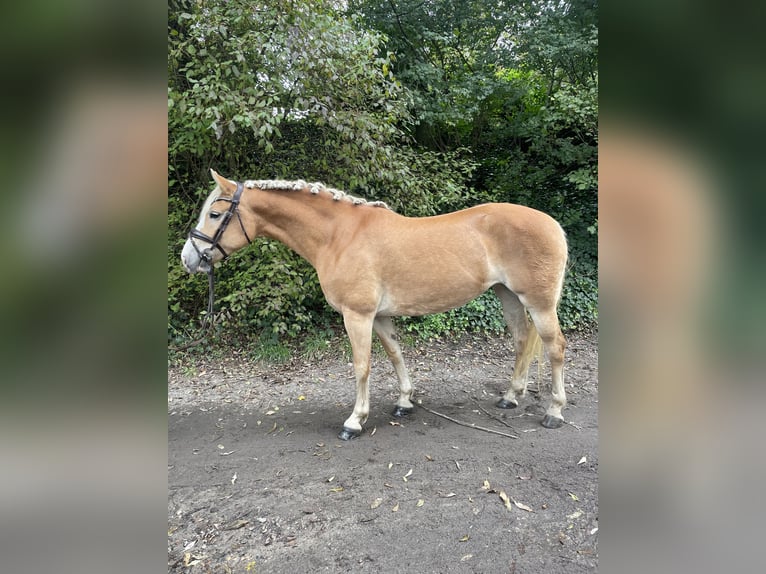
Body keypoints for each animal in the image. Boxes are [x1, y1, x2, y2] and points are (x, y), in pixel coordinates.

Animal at [183, 170, 568, 440]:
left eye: (215, 214)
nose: (189, 258)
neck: (339, 236)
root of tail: (553, 224)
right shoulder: (380, 317)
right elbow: (396, 355)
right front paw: (404, 402)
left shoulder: (358, 315)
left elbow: (361, 365)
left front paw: (355, 420)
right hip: (508, 295)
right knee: (521, 341)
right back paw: (511, 396)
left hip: (539, 303)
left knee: (555, 348)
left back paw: (554, 412)